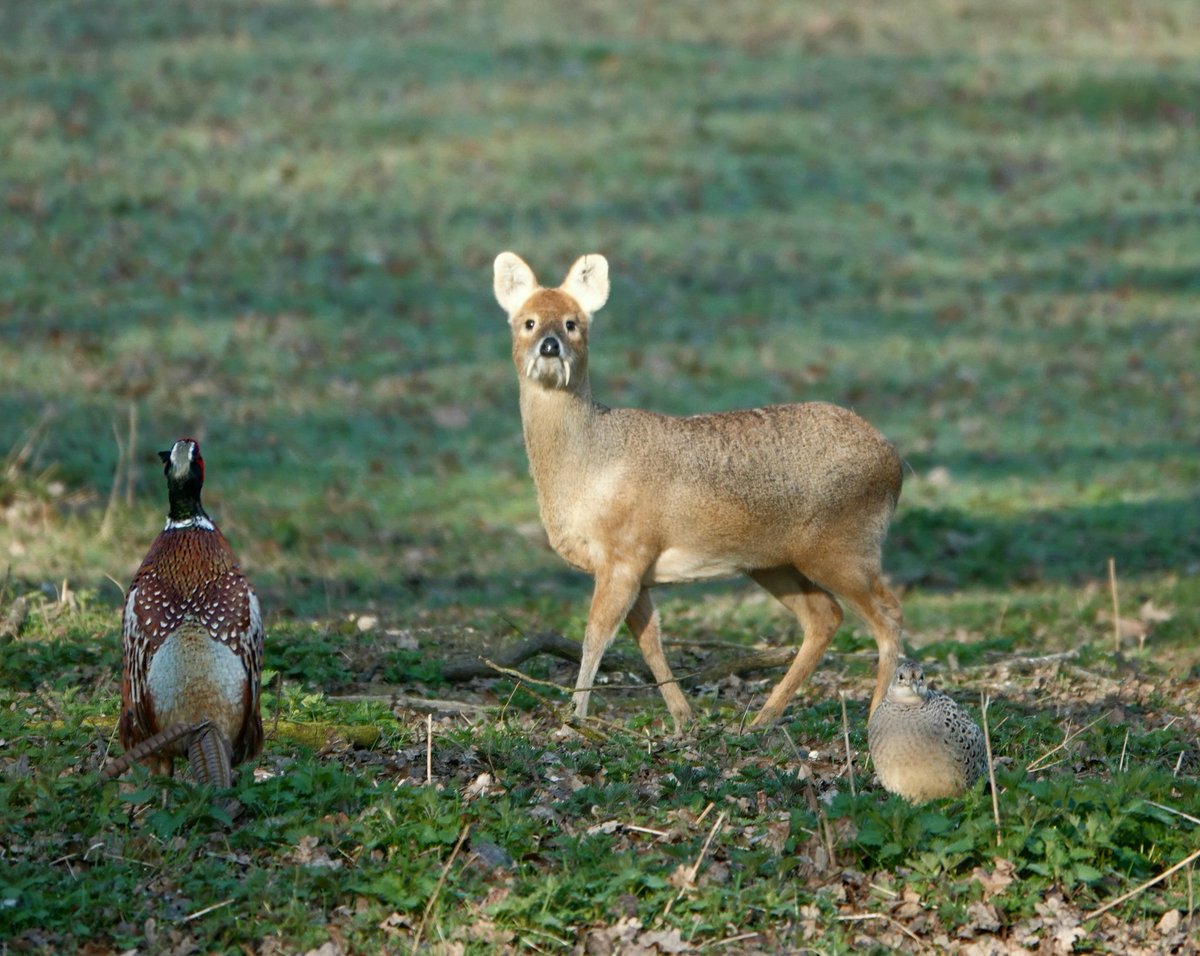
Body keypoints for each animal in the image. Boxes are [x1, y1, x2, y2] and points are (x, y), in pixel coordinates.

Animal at [494, 249, 902, 729]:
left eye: (573, 323)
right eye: (528, 321)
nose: (550, 345)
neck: (586, 470)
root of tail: (894, 461)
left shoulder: (624, 551)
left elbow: (596, 635)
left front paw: (575, 717)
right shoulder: (636, 567)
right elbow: (649, 640)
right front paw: (683, 717)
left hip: (844, 546)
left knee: (887, 614)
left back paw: (875, 717)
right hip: (773, 561)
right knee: (826, 616)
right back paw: (763, 718)